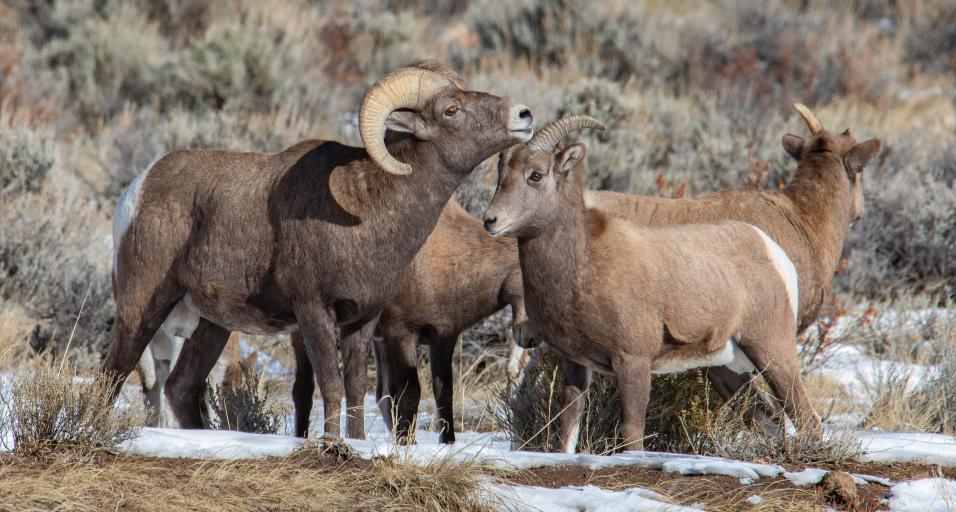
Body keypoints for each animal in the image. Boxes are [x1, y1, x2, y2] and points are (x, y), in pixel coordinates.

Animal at [290, 199, 525, 442]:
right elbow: (410, 392)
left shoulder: (442, 337)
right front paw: (406, 442)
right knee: (304, 387)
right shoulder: (400, 332)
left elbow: (442, 391)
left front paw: (446, 441)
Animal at [483, 115, 823, 452]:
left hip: (771, 351)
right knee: (771, 422)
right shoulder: (574, 365)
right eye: (501, 174)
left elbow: (632, 432)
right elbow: (568, 429)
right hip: (730, 369)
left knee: (806, 417)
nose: (491, 221)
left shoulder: (633, 363)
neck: (582, 266)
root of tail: (772, 251)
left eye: (536, 175)